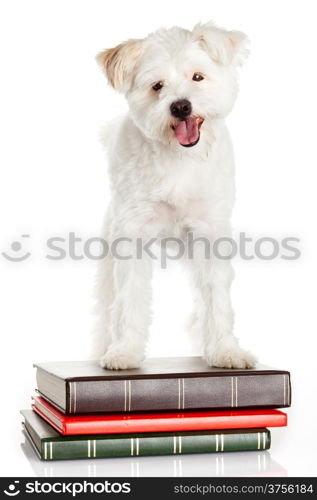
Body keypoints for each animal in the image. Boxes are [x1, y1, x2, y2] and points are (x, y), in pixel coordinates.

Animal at [93, 21, 254, 370]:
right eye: (157, 86)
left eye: (197, 77)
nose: (181, 106)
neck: (179, 157)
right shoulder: (133, 233)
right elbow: (130, 299)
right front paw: (125, 352)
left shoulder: (209, 232)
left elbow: (216, 297)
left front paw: (225, 351)